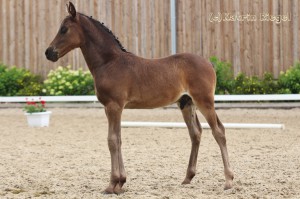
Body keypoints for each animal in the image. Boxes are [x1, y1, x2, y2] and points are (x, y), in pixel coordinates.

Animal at [44, 2, 233, 194]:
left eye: (64, 29)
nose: (49, 53)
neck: (109, 62)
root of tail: (209, 63)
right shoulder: (112, 108)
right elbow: (118, 139)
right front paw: (121, 183)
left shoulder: (114, 106)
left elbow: (112, 141)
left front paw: (112, 184)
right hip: (187, 104)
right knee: (196, 133)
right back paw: (188, 177)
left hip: (205, 102)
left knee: (218, 131)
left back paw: (228, 180)